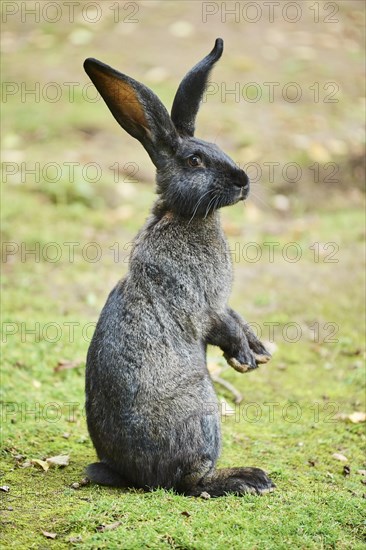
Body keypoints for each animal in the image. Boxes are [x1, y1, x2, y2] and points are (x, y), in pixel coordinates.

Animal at [83, 36, 274, 498]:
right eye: (194, 161)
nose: (243, 181)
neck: (184, 215)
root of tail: (133, 476)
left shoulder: (223, 302)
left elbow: (238, 318)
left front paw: (260, 352)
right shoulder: (201, 304)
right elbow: (223, 325)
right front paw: (244, 360)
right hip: (201, 411)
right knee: (189, 481)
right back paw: (248, 479)